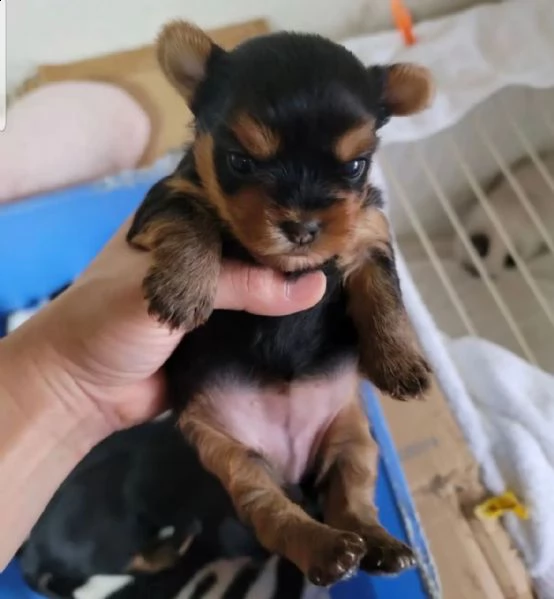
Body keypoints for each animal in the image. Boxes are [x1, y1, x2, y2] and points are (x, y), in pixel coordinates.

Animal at [127, 22, 434, 584]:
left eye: (355, 166)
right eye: (240, 161)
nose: (302, 226)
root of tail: (291, 467)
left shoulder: (369, 234)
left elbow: (383, 293)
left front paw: (399, 362)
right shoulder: (164, 200)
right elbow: (192, 216)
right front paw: (183, 289)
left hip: (353, 436)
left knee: (350, 499)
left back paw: (377, 544)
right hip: (230, 456)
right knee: (273, 512)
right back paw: (327, 551)